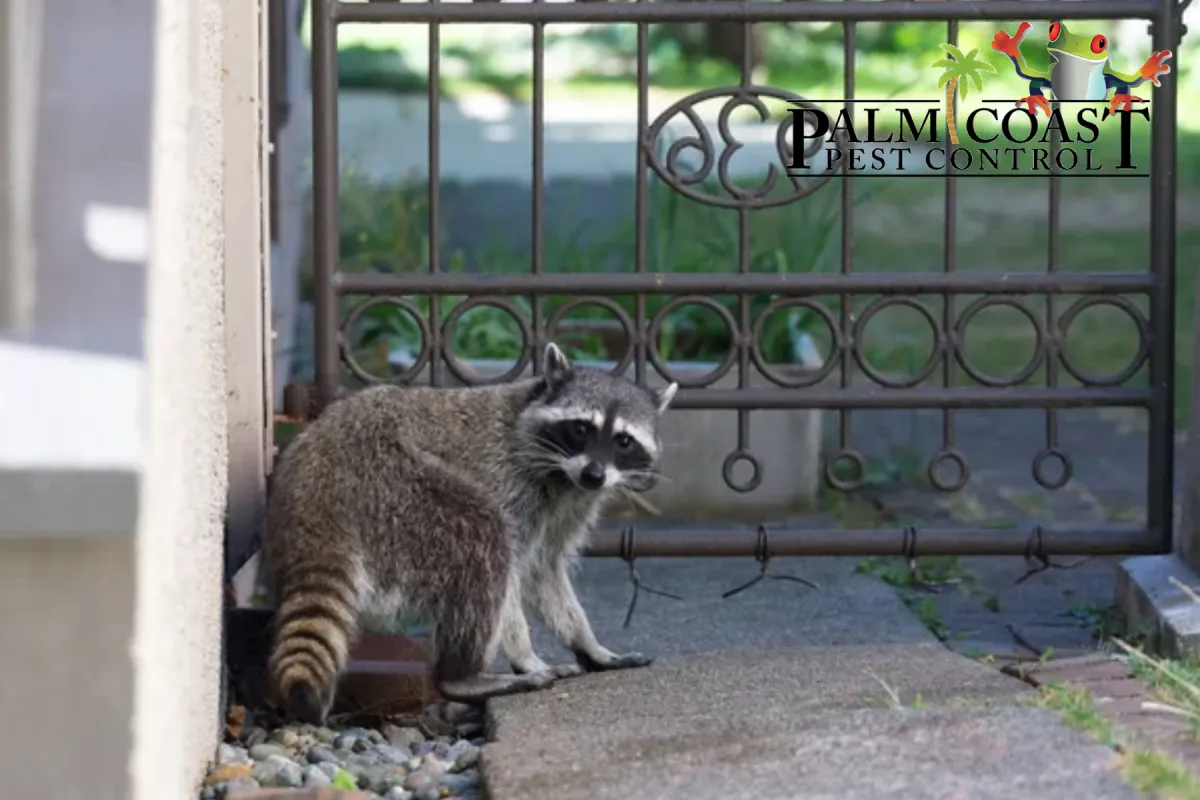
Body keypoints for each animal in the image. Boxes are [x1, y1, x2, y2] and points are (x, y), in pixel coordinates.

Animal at [263, 343, 678, 723]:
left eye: (623, 441)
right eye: (580, 428)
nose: (595, 475)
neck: (562, 475)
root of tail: (319, 486)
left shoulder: (567, 508)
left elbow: (544, 573)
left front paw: (589, 644)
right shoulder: (507, 481)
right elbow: (511, 579)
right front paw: (525, 655)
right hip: (396, 486)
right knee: (482, 539)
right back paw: (462, 676)